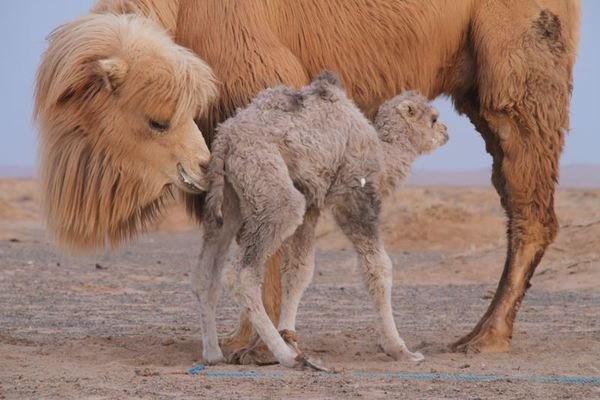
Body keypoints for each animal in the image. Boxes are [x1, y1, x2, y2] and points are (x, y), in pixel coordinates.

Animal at [195, 70, 448, 368]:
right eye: (433, 118)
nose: (446, 132)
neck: (381, 153)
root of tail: (225, 137)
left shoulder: (312, 203)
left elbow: (298, 271)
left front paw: (291, 337)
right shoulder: (354, 194)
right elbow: (378, 266)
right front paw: (400, 350)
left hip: (230, 197)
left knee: (206, 272)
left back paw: (213, 353)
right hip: (268, 180)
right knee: (242, 273)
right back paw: (287, 357)